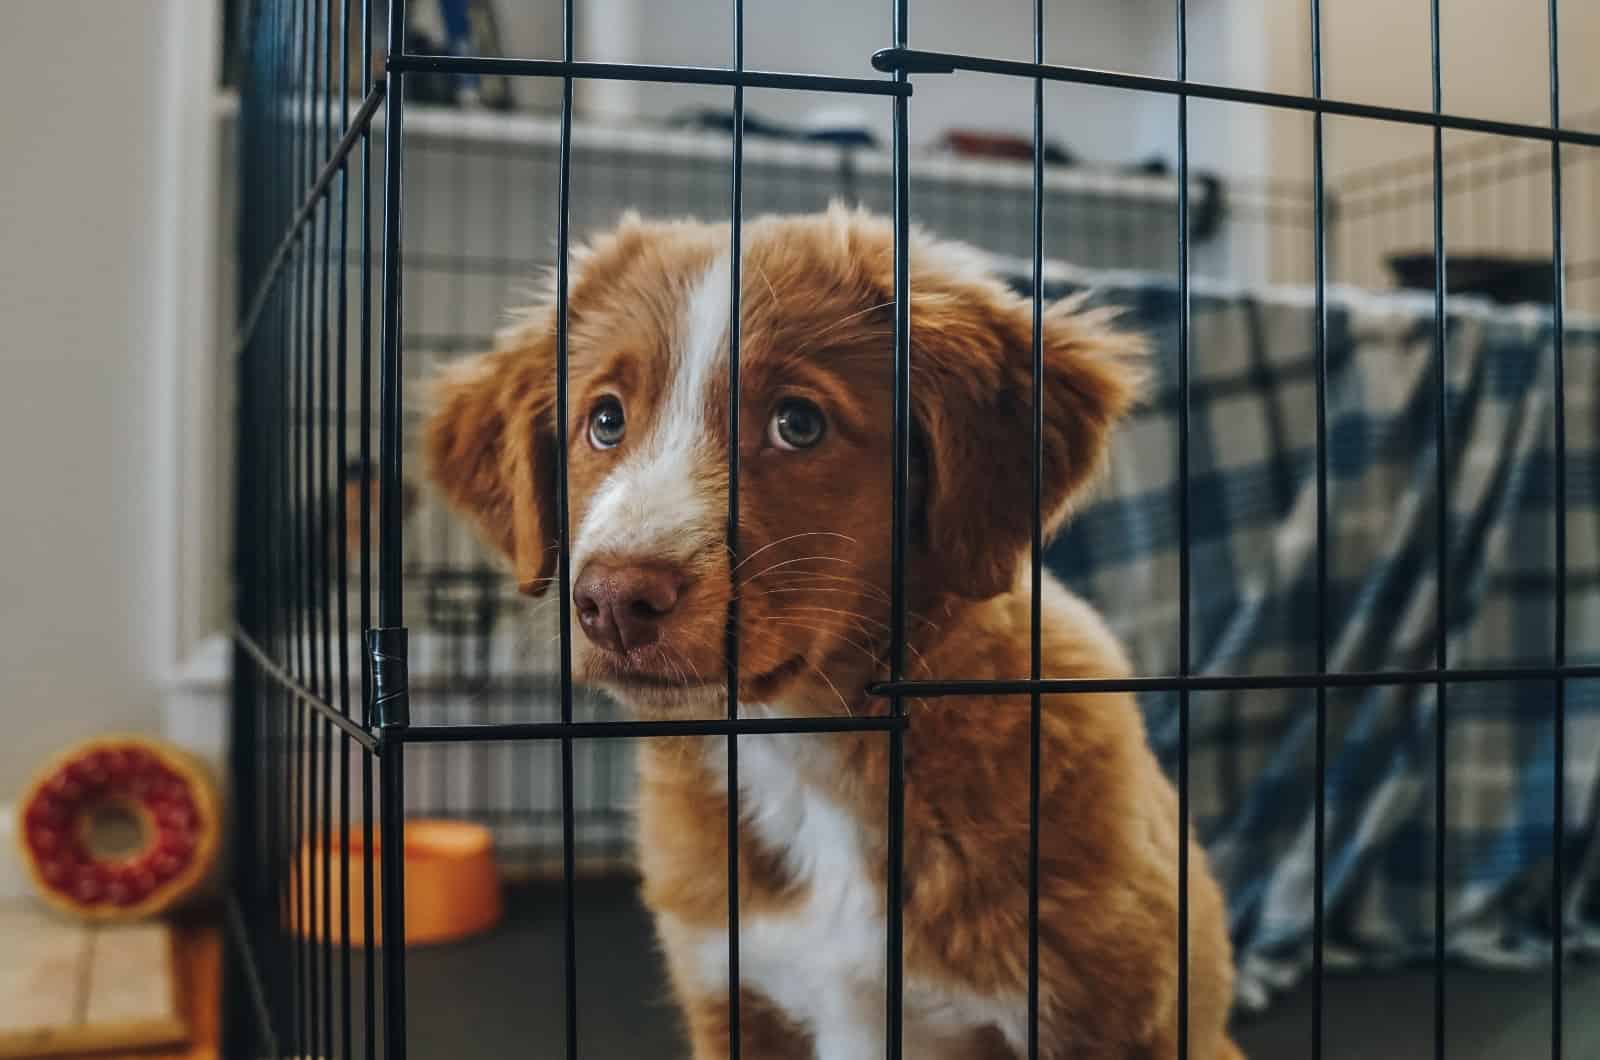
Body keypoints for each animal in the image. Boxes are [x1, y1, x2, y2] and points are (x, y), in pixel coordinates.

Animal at [422, 208, 1235, 1060]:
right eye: (605, 420)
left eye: (798, 424)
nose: (613, 601)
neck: (803, 747)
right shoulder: (730, 995)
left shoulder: (1109, 1018)